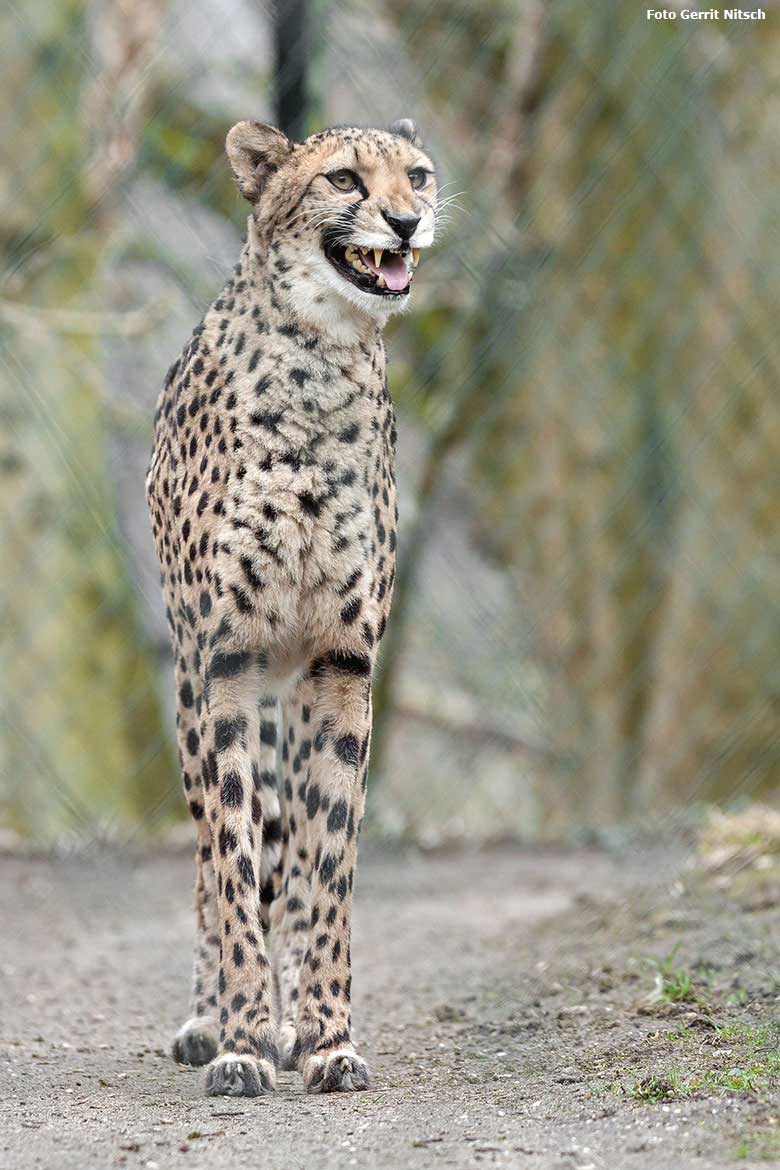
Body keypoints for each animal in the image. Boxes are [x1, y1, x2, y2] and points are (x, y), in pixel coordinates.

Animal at [145, 118, 437, 1095]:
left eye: (418, 174)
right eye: (345, 179)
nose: (407, 220)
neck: (322, 361)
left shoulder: (339, 663)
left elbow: (326, 862)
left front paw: (326, 1035)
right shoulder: (227, 662)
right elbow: (234, 862)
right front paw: (238, 1040)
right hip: (199, 689)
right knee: (209, 859)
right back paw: (210, 1021)